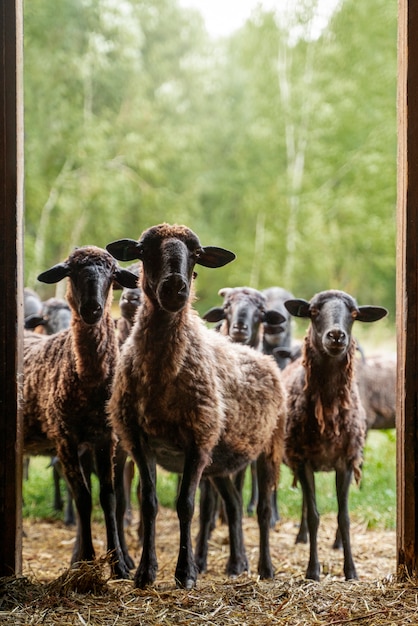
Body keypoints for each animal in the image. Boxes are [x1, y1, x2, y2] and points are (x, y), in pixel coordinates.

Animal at [22, 244, 138, 576]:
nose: (92, 309)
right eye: (71, 272)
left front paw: (118, 565)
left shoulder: (105, 438)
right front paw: (85, 561)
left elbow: (108, 498)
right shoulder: (65, 437)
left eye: (112, 274)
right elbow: (84, 498)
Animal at [106, 224, 286, 588]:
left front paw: (185, 573)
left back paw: (266, 568)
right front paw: (145, 572)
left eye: (198, 254)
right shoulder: (138, 439)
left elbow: (186, 505)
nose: (175, 286)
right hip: (220, 460)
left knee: (261, 510)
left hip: (268, 446)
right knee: (233, 504)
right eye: (143, 250)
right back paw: (238, 564)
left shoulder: (198, 438)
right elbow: (149, 503)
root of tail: (263, 357)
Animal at [282, 288, 386, 580]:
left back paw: (337, 543)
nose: (337, 335)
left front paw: (351, 570)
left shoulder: (345, 461)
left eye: (354, 314)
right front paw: (312, 571)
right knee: (307, 506)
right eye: (314, 311)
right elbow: (315, 515)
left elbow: (344, 517)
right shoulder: (303, 460)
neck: (327, 412)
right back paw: (301, 536)